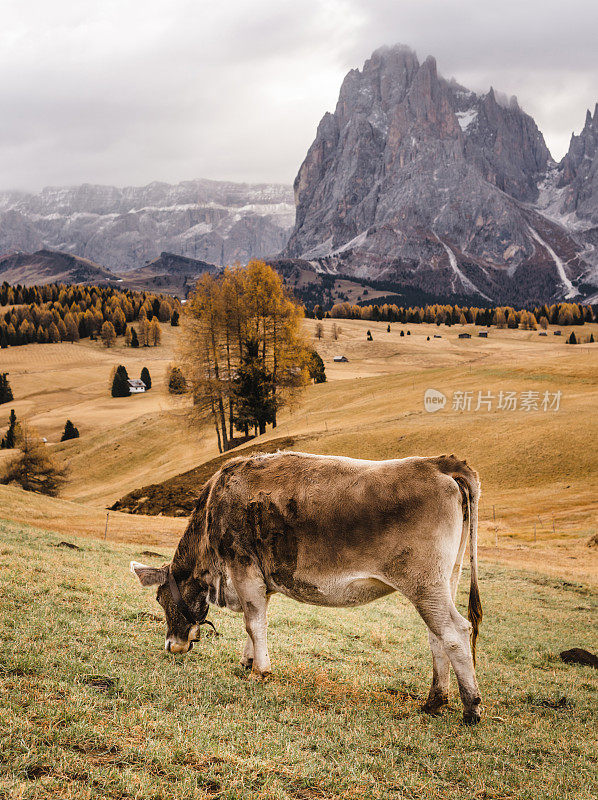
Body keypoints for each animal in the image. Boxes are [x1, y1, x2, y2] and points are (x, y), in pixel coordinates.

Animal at [130, 454, 482, 720]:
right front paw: (248, 661)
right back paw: (435, 701)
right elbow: (253, 623)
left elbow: (253, 623)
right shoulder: (259, 580)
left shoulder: (243, 568)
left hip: (424, 584)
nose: (171, 645)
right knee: (437, 637)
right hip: (445, 580)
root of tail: (438, 463)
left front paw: (260, 672)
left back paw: (471, 708)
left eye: (161, 599)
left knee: (455, 632)